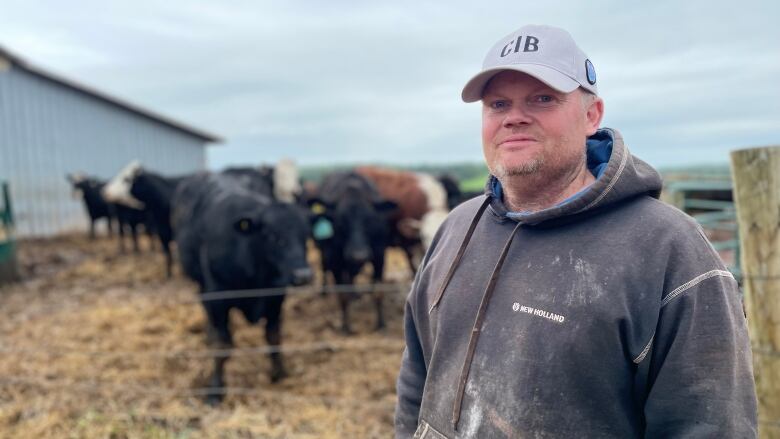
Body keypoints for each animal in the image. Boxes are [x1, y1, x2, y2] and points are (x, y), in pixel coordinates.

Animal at [172, 172, 312, 406]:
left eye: (306, 235)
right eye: (272, 235)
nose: (303, 275)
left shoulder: (276, 297)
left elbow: (273, 338)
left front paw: (279, 373)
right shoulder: (217, 298)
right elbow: (222, 346)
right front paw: (215, 390)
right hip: (202, 285)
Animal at [310, 172, 396, 334]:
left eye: (369, 218)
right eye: (341, 219)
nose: (358, 255)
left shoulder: (379, 255)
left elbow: (378, 292)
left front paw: (381, 324)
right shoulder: (335, 260)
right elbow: (342, 295)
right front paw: (345, 326)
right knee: (326, 269)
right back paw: (325, 292)